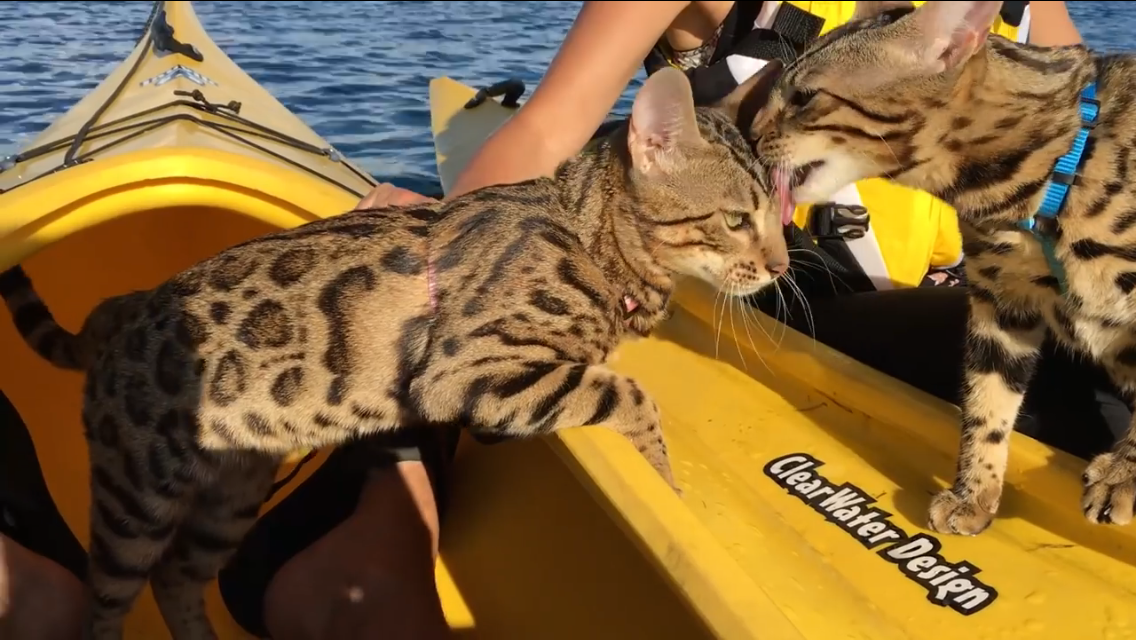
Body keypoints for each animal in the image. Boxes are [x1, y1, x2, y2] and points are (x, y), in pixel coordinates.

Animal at [0, 66, 790, 640]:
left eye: (778, 215)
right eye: (735, 219)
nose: (782, 267)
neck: (590, 240)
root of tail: (118, 311)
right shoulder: (466, 370)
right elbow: (627, 395)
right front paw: (666, 478)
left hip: (232, 490)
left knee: (176, 579)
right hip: (138, 495)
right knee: (105, 600)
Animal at [745, 0, 1136, 536]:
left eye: (804, 97)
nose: (751, 133)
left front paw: (1121, 474)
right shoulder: (1000, 305)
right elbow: (986, 404)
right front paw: (974, 493)